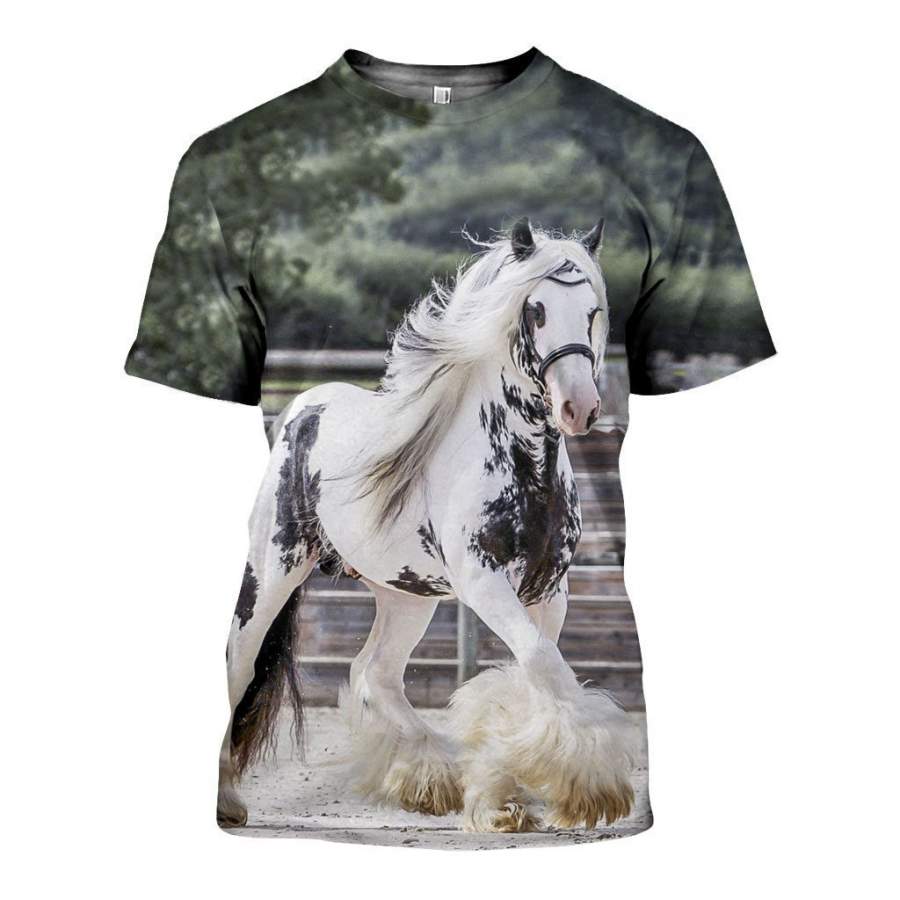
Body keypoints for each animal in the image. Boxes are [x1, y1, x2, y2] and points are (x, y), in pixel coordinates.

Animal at [217, 217, 636, 833]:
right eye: (535, 310)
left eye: (592, 310)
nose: (578, 408)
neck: (523, 466)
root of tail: (301, 409)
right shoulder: (484, 581)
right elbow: (540, 662)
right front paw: (584, 790)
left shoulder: (549, 590)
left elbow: (539, 669)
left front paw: (512, 795)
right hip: (272, 570)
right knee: (240, 663)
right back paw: (228, 797)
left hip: (406, 594)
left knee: (376, 672)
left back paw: (431, 780)